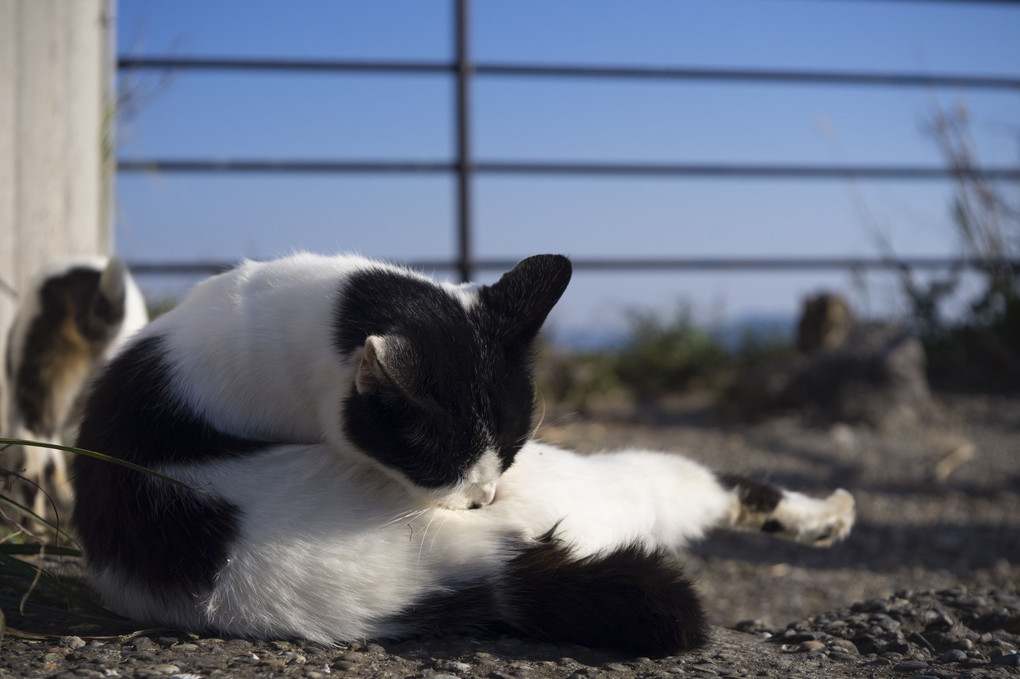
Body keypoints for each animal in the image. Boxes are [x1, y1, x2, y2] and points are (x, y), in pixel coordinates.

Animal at [71, 250, 852, 652]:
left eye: (508, 444)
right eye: (443, 464)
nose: (484, 495)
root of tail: (497, 571)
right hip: (595, 483)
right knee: (697, 486)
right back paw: (829, 515)